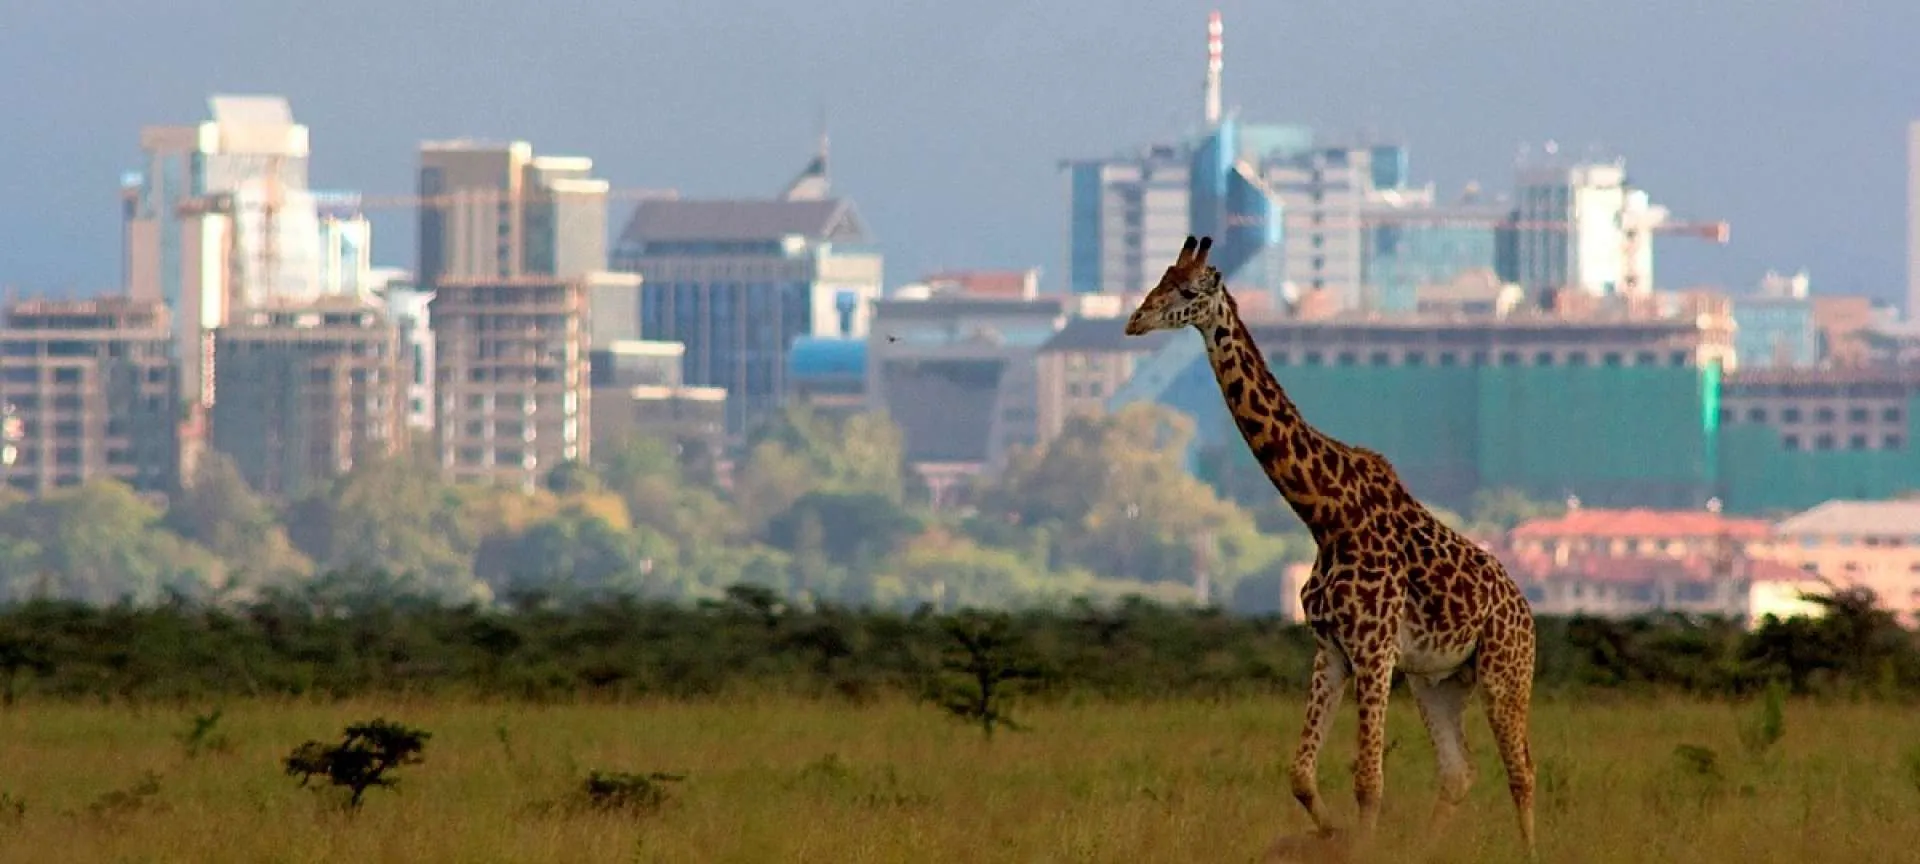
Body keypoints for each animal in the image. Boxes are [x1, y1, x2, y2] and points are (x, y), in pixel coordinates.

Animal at [1123, 236, 1538, 858]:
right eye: (1161, 278)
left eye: (1188, 290)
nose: (1135, 320)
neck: (1325, 516)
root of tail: (1527, 613)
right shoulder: (1332, 651)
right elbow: (1301, 774)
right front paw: (1332, 834)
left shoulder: (1374, 649)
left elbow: (1368, 779)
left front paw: (1357, 845)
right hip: (1437, 682)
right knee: (1458, 773)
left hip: (1504, 672)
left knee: (1522, 773)